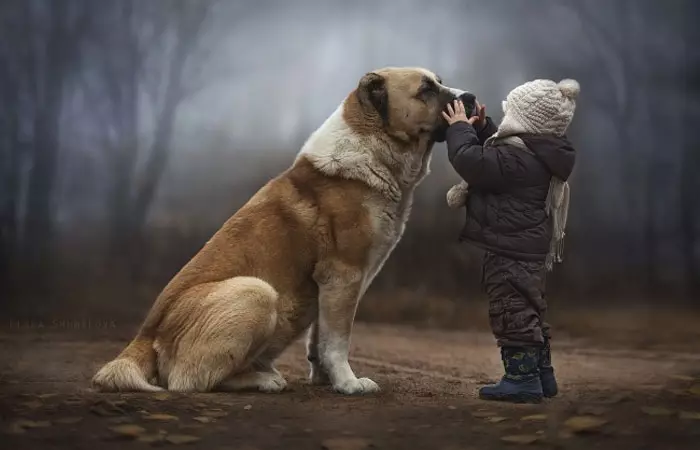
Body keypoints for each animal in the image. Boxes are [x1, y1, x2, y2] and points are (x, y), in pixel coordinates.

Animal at [91, 66, 464, 394]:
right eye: (425, 90)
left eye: (439, 82)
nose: (470, 98)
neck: (373, 148)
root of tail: (144, 335)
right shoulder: (343, 275)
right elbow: (337, 340)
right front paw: (349, 384)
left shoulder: (332, 286)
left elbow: (319, 338)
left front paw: (326, 380)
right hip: (255, 292)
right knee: (190, 381)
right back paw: (264, 380)